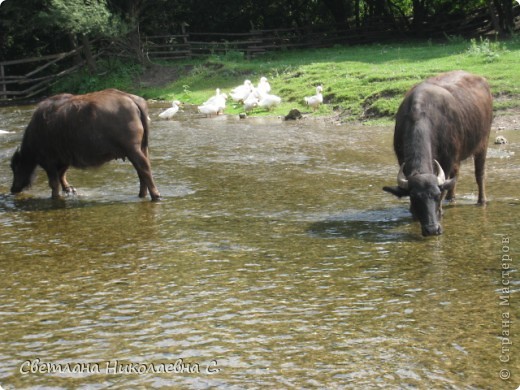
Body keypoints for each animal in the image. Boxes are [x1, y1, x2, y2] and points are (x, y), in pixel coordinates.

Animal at [9, 88, 160, 201]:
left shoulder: (49, 161)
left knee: (144, 168)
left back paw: (156, 195)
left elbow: (54, 182)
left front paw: (55, 196)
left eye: (15, 167)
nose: (13, 189)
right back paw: (142, 194)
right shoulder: (65, 157)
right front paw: (69, 190)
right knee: (141, 170)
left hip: (132, 149)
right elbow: (62, 174)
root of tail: (131, 99)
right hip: (141, 148)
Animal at [384, 70, 494, 236]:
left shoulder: (447, 160)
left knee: (479, 174)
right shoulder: (401, 158)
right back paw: (451, 198)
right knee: (455, 176)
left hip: (483, 142)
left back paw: (481, 201)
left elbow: (446, 183)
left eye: (436, 195)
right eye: (415, 197)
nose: (432, 229)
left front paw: (440, 211)